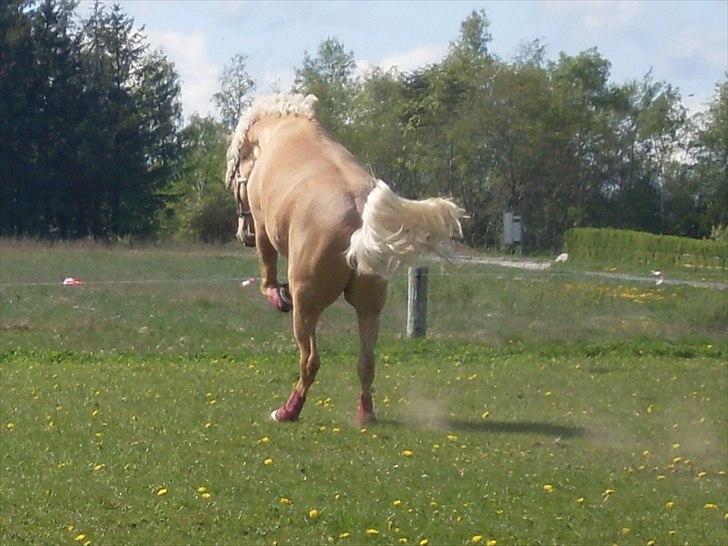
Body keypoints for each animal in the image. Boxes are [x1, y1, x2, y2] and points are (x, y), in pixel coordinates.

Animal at [225, 92, 464, 424]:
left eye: (236, 176)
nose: (242, 234)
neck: (282, 130)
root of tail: (359, 228)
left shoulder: (262, 226)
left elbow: (267, 269)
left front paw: (276, 294)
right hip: (369, 306)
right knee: (366, 361)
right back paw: (365, 413)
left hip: (307, 304)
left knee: (310, 360)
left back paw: (288, 410)